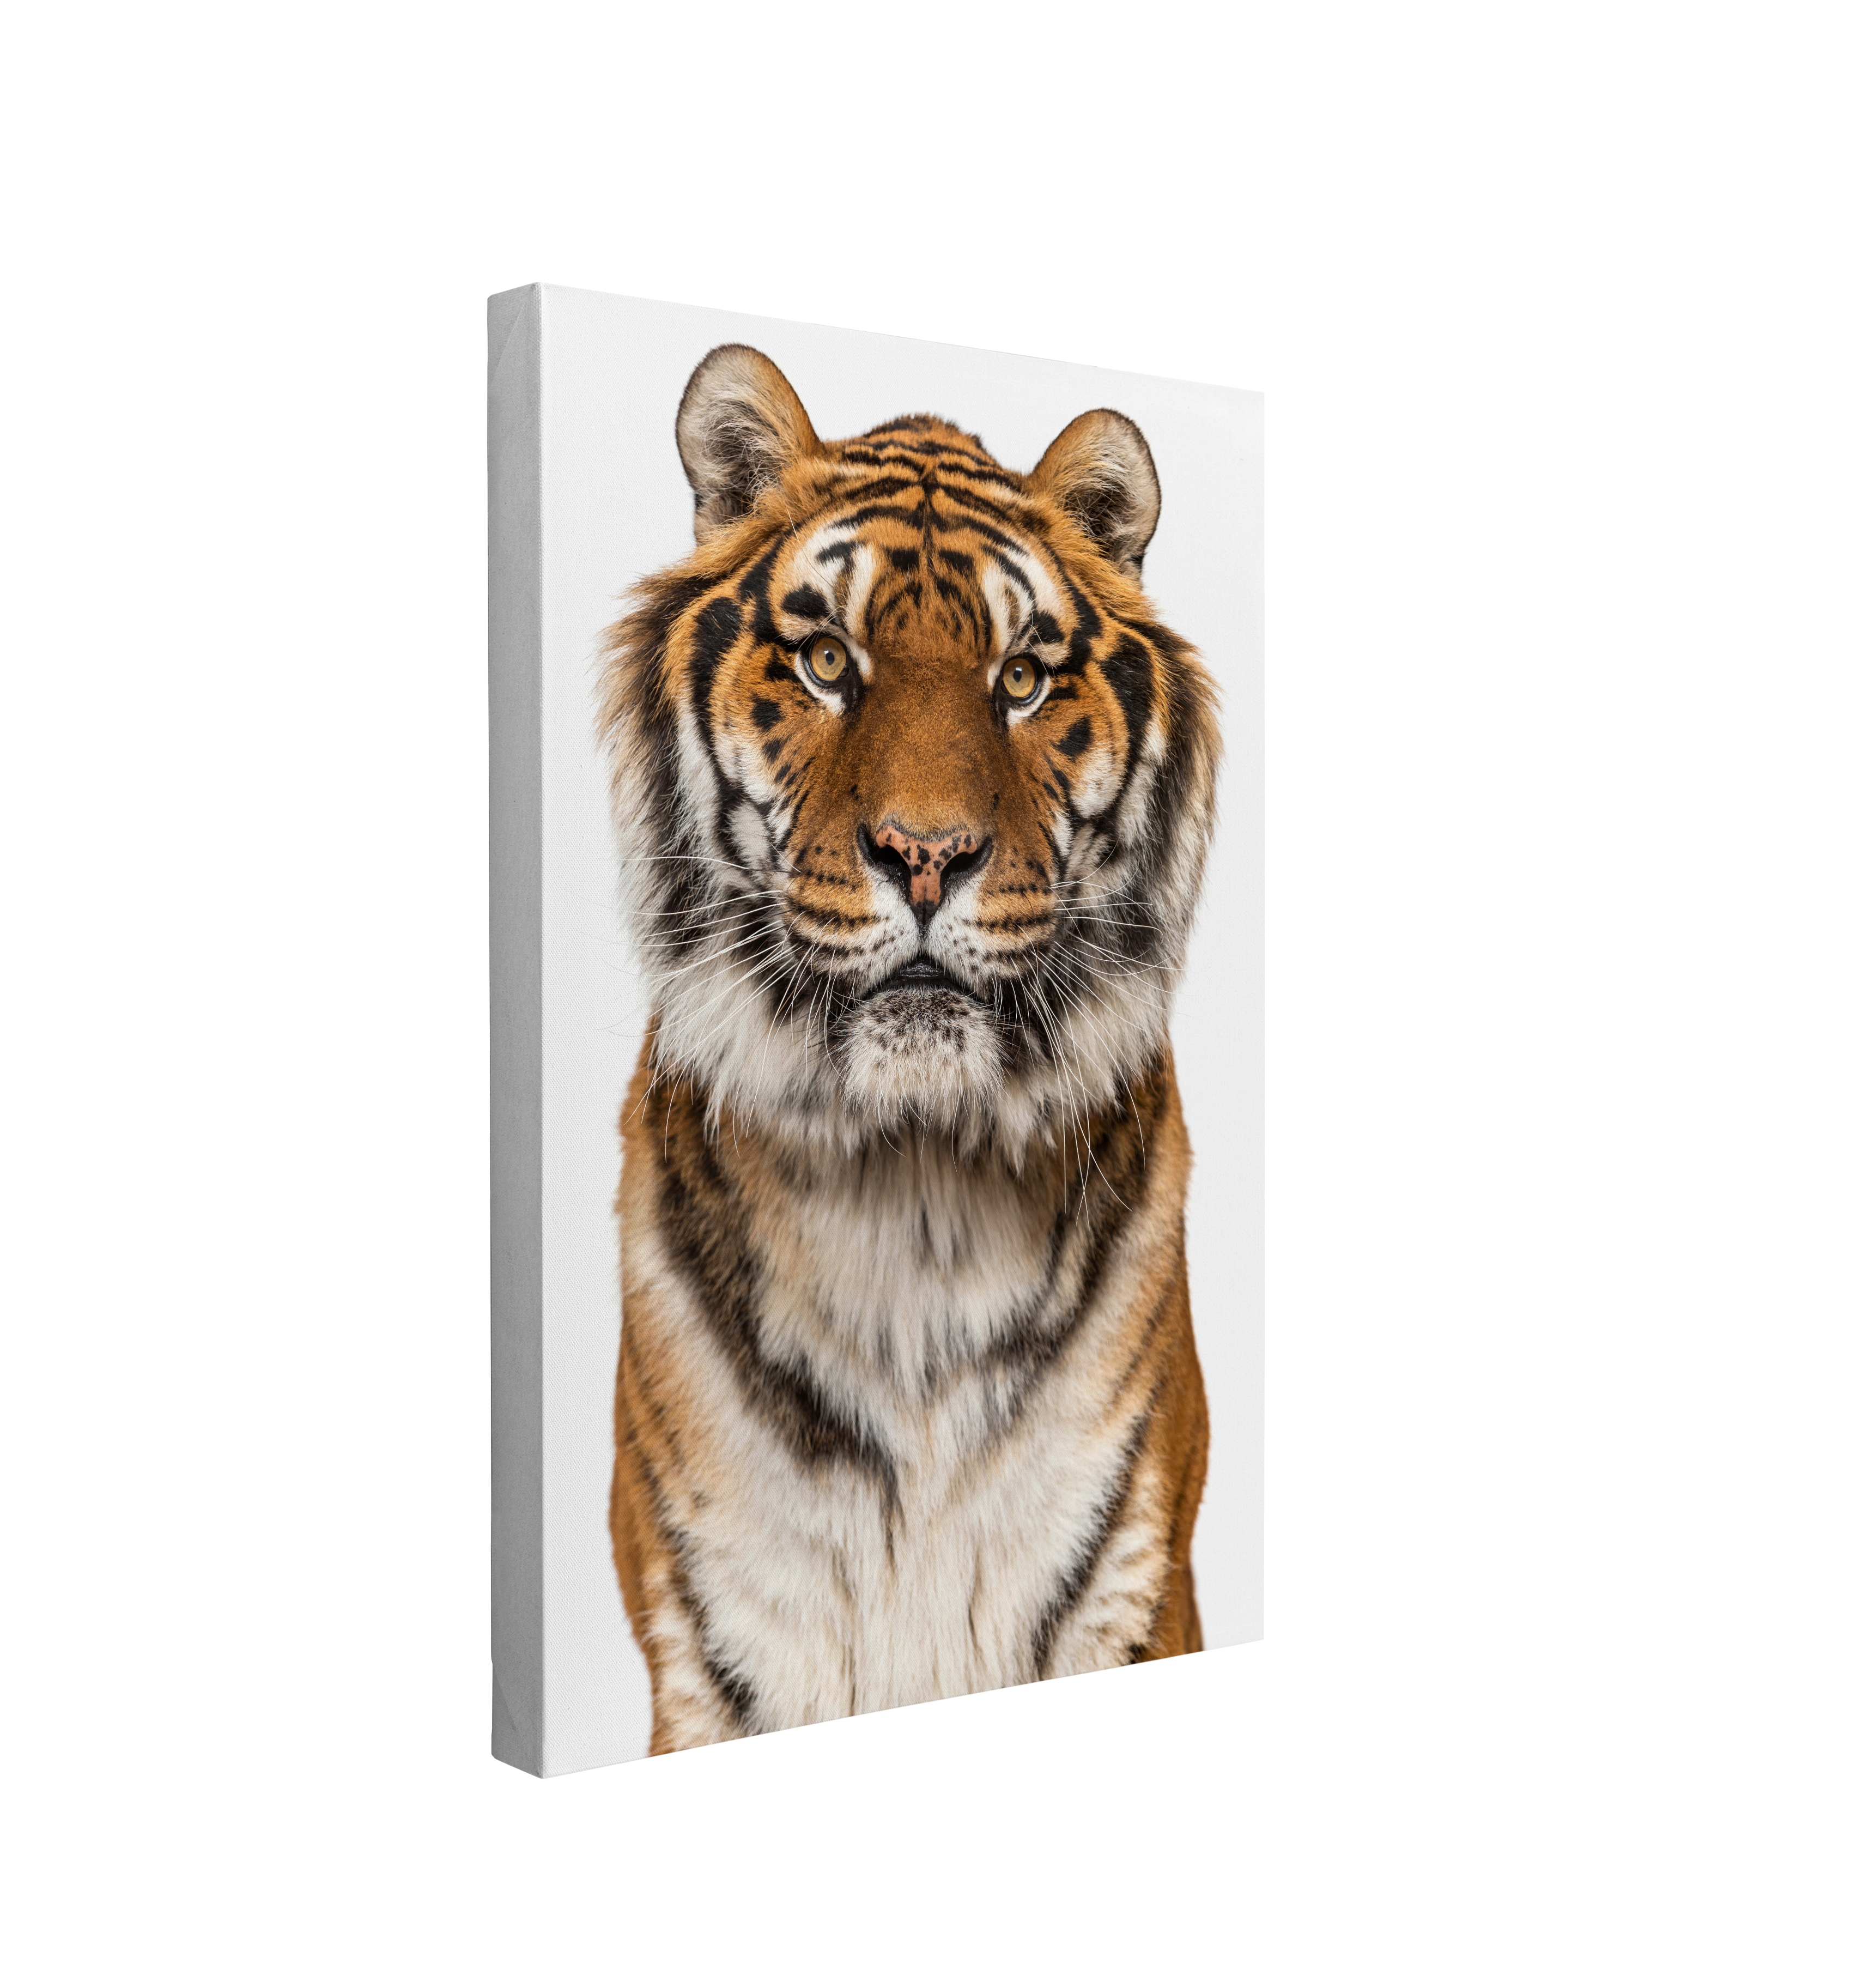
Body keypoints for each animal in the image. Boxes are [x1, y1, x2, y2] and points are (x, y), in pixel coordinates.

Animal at [598, 343, 1222, 1774]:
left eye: (1023, 678)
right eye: (829, 660)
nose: (926, 855)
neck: (911, 1195)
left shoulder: (1132, 1606)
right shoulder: (712, 1646)